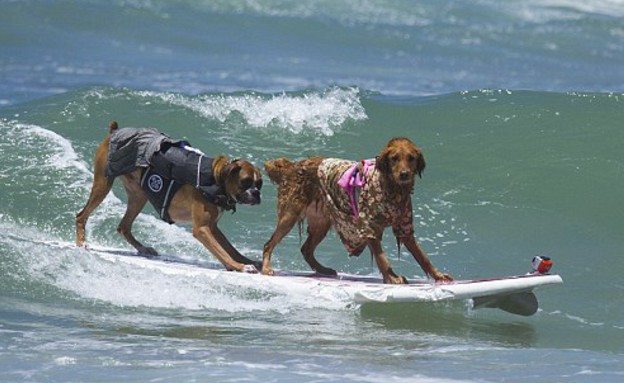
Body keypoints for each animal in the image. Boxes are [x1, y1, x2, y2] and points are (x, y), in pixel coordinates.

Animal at [77, 122, 262, 272]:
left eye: (259, 183)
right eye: (245, 181)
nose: (256, 193)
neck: (216, 178)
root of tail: (114, 131)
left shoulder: (213, 227)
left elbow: (230, 248)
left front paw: (247, 261)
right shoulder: (202, 229)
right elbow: (222, 252)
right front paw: (238, 266)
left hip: (139, 196)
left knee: (124, 226)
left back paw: (143, 249)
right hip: (103, 185)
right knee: (81, 215)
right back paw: (81, 243)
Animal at [260, 136, 450, 284]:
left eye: (411, 158)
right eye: (394, 158)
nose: (404, 174)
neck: (391, 188)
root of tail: (292, 166)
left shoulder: (404, 227)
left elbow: (423, 257)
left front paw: (438, 276)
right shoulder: (368, 226)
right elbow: (382, 258)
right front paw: (392, 278)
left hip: (321, 222)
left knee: (306, 249)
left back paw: (323, 269)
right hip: (290, 215)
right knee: (269, 244)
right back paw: (267, 267)